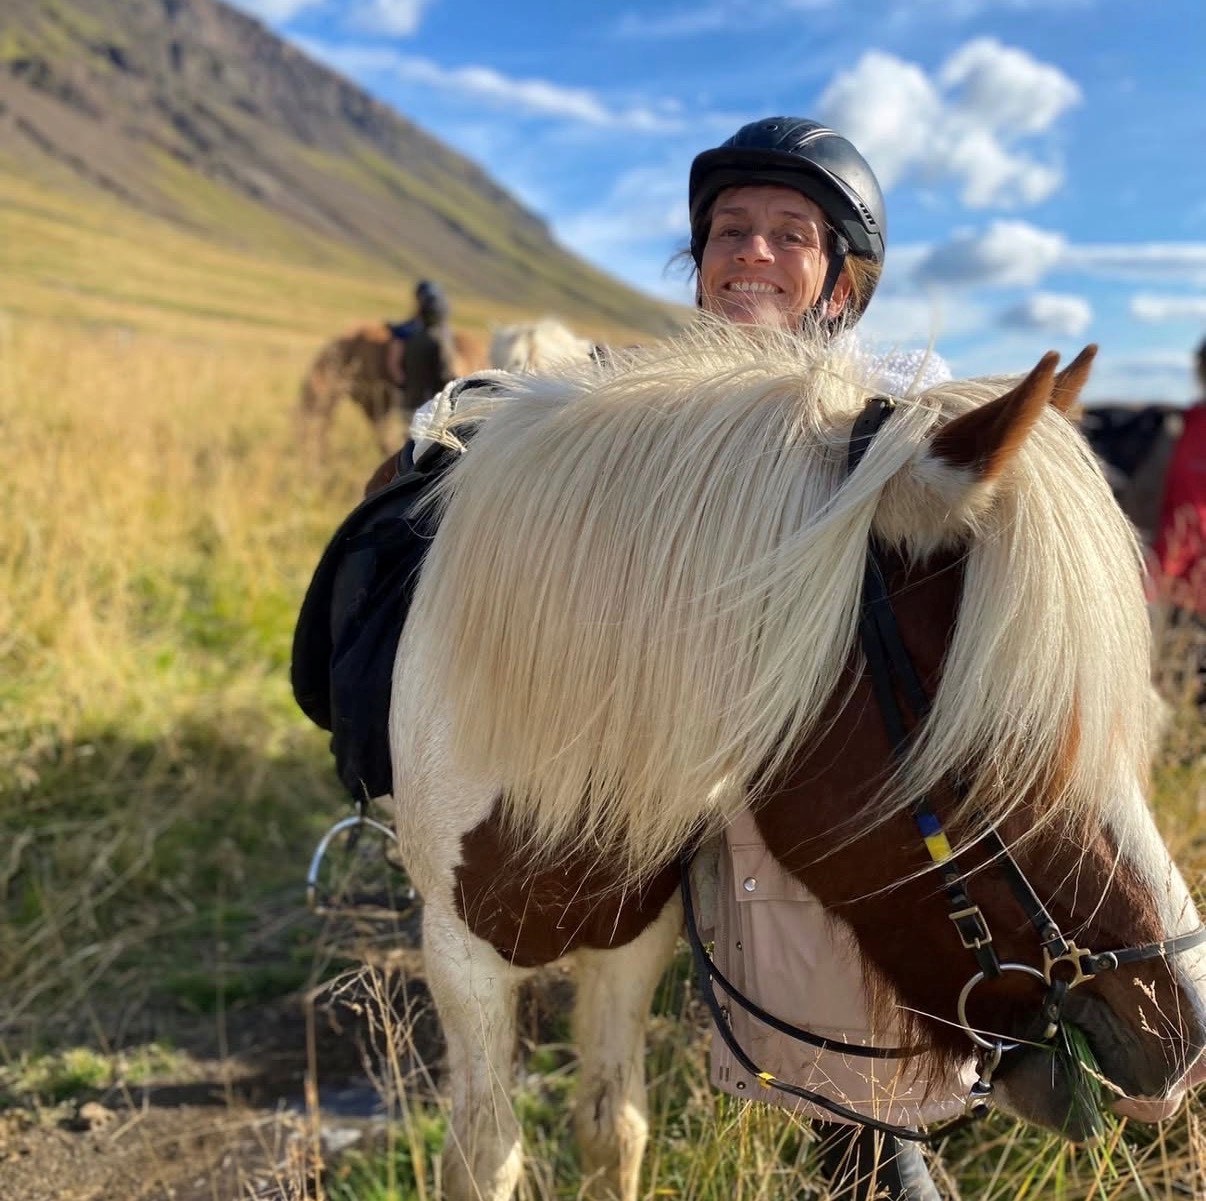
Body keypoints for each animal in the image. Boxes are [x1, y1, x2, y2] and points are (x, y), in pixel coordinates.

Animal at [386, 326, 1206, 1201]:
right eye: (999, 745)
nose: (1184, 1041)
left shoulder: (629, 943)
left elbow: (613, 1126)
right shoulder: (461, 961)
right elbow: (485, 1153)